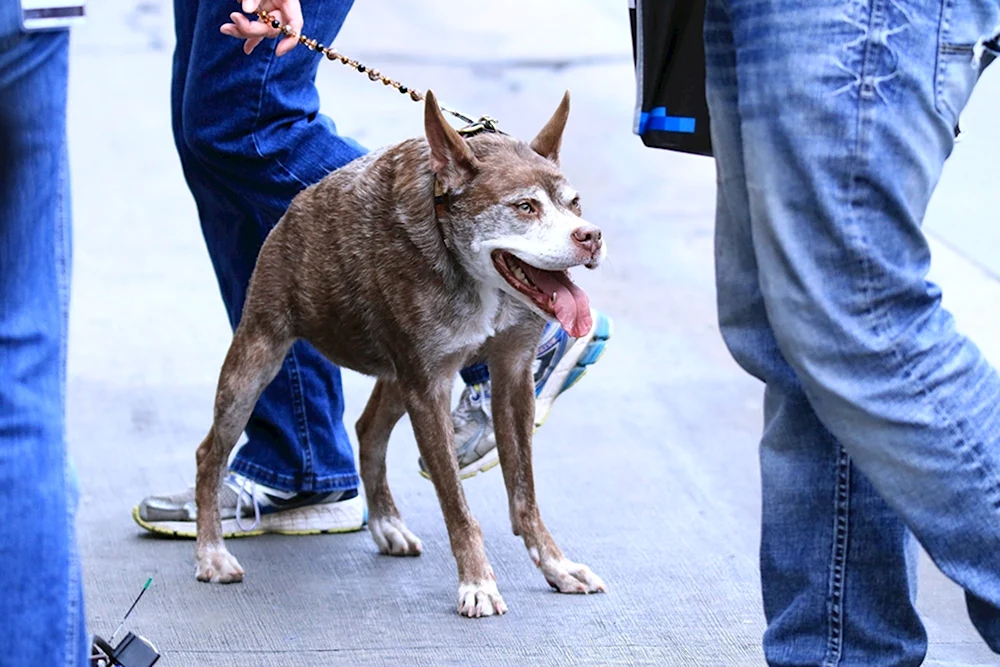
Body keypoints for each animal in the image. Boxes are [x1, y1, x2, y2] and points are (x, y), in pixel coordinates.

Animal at [191, 91, 604, 620]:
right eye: (525, 207)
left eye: (574, 204)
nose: (590, 235)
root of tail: (295, 209)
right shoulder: (428, 385)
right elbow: (456, 504)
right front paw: (477, 582)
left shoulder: (511, 375)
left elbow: (525, 494)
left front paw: (555, 565)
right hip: (258, 355)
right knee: (211, 452)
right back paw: (211, 553)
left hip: (396, 371)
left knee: (369, 430)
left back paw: (385, 524)